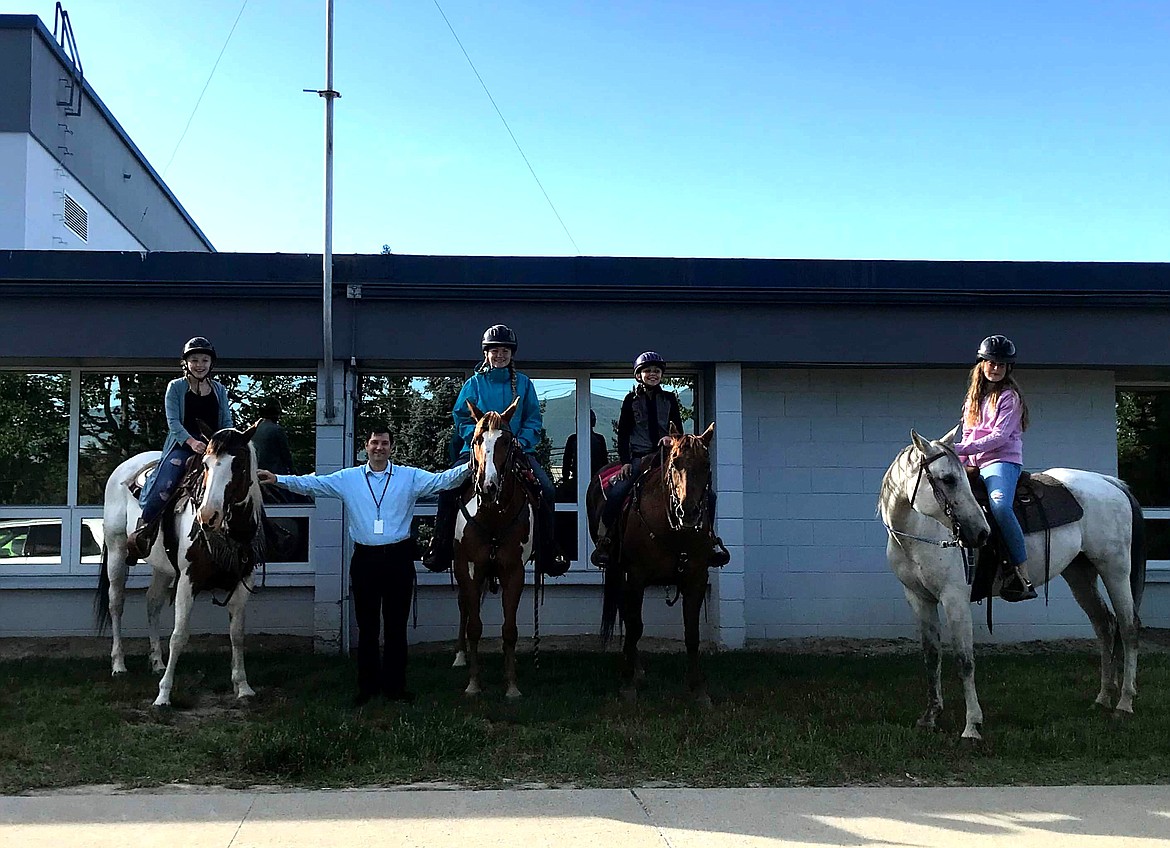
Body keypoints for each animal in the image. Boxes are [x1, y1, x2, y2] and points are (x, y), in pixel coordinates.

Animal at [94, 423, 264, 706]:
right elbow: (179, 635)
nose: (208, 516)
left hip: (162, 568)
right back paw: (118, 665)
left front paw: (243, 687)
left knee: (152, 602)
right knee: (116, 603)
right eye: (205, 464)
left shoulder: (243, 581)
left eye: (238, 464)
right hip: (117, 551)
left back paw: (157, 662)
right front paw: (163, 695)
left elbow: (237, 634)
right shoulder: (188, 579)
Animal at [451, 400, 535, 697]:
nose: (488, 487)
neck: (493, 515)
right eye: (477, 439)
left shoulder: (513, 571)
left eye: (507, 441)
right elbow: (474, 626)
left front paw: (511, 686)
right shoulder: (469, 569)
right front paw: (474, 684)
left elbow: (509, 629)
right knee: (464, 607)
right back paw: (459, 656)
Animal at [589, 421, 716, 706]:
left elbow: (692, 633)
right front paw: (627, 685)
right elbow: (635, 626)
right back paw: (634, 671)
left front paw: (699, 689)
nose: (688, 512)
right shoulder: (636, 576)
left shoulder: (697, 578)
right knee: (628, 618)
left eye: (706, 464)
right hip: (619, 570)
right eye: (675, 462)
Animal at [879, 425, 1146, 739]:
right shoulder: (919, 599)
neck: (919, 533)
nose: (981, 533)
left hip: (1115, 569)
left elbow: (964, 660)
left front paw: (972, 726)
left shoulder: (954, 599)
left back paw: (1124, 703)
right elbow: (931, 657)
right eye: (948, 479)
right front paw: (930, 718)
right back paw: (1102, 699)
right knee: (1105, 626)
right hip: (1080, 574)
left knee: (1128, 628)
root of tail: (1109, 482)